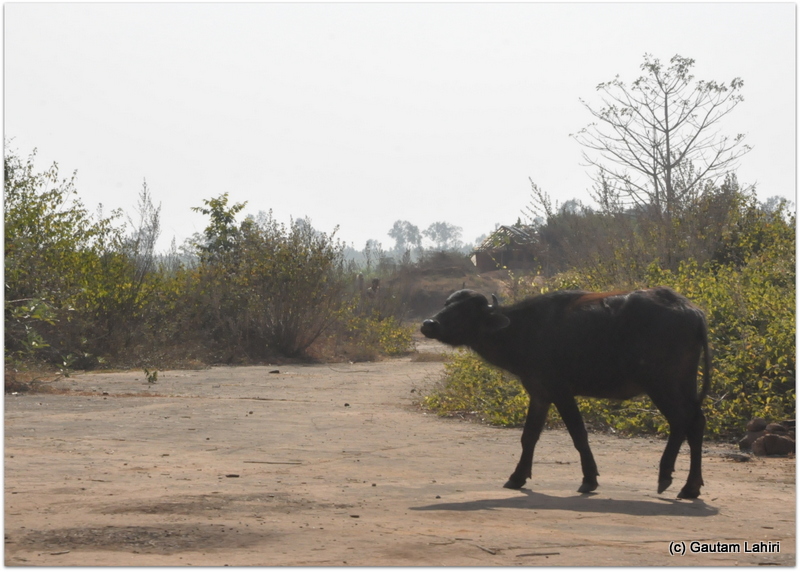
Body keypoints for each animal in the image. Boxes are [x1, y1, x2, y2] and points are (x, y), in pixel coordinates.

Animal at [420, 287, 711, 499]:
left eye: (464, 311)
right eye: (447, 304)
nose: (428, 324)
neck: (524, 330)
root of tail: (693, 312)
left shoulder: (561, 391)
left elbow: (578, 434)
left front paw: (589, 479)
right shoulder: (539, 393)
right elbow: (529, 436)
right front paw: (517, 477)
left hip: (661, 383)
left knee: (681, 420)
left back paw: (666, 476)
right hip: (685, 382)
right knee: (696, 422)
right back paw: (690, 487)